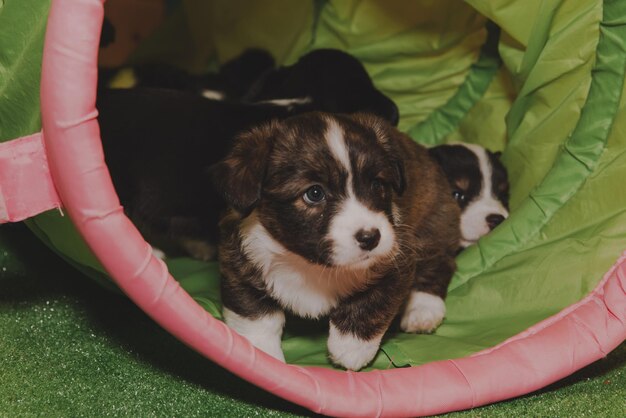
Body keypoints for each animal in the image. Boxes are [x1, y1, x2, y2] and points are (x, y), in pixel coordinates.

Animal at [211, 111, 458, 370]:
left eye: (377, 184)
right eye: (314, 193)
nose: (371, 238)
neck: (308, 263)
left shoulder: (398, 260)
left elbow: (372, 303)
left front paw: (351, 347)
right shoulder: (238, 263)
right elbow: (256, 316)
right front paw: (260, 356)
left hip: (432, 224)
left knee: (439, 264)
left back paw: (423, 309)